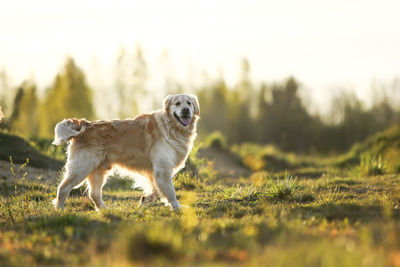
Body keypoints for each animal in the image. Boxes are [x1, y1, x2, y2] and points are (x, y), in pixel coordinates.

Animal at [50, 94, 199, 211]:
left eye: (189, 103)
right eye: (177, 103)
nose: (186, 110)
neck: (172, 128)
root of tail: (85, 125)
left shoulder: (157, 170)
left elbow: (156, 190)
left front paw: (145, 199)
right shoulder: (162, 168)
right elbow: (170, 191)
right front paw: (177, 207)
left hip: (98, 170)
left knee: (94, 194)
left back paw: (104, 209)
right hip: (82, 167)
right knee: (63, 188)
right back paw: (60, 209)